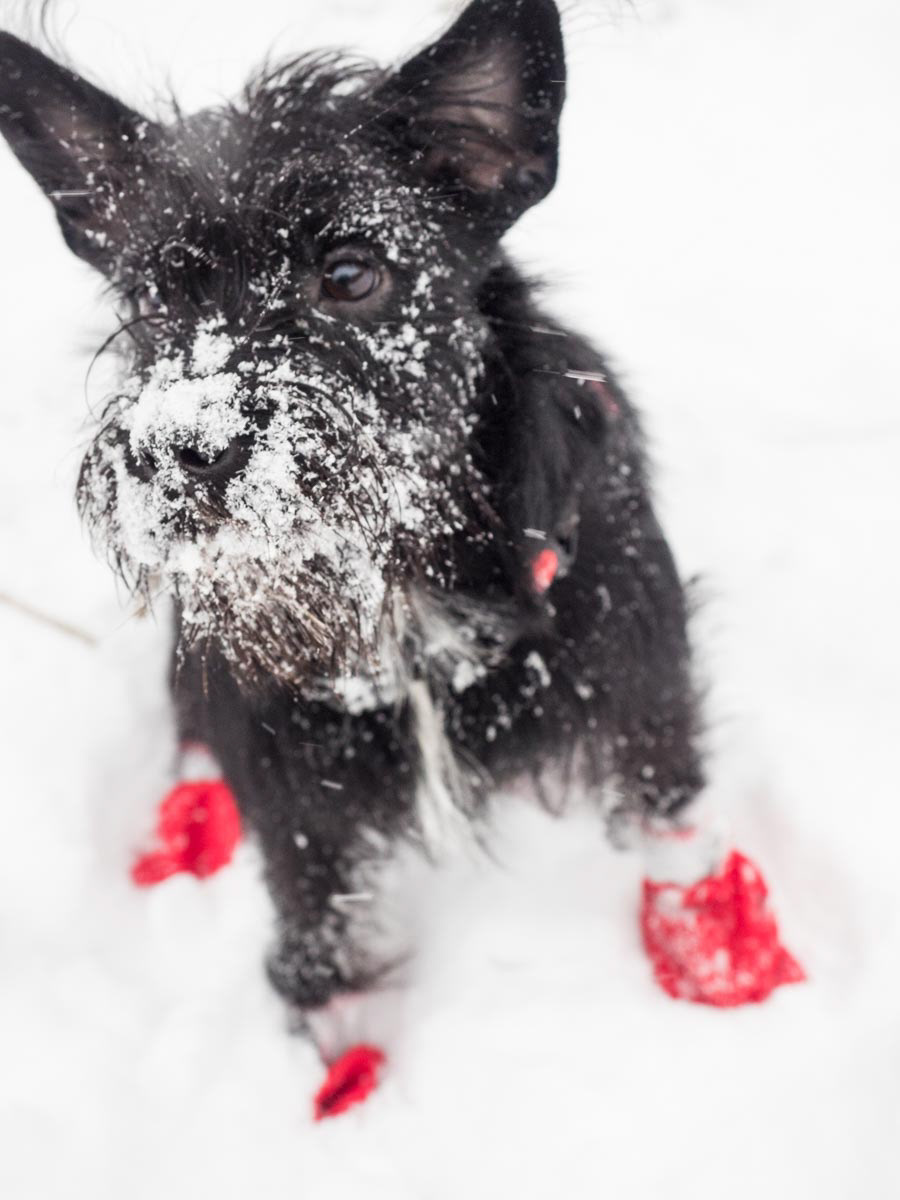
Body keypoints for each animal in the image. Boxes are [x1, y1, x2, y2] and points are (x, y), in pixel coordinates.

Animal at [0, 0, 803, 1059]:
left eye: (350, 272)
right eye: (151, 298)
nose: (186, 445)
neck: (401, 585)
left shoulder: (638, 669)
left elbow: (669, 816)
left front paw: (713, 954)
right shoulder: (286, 772)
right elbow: (309, 906)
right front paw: (340, 1044)